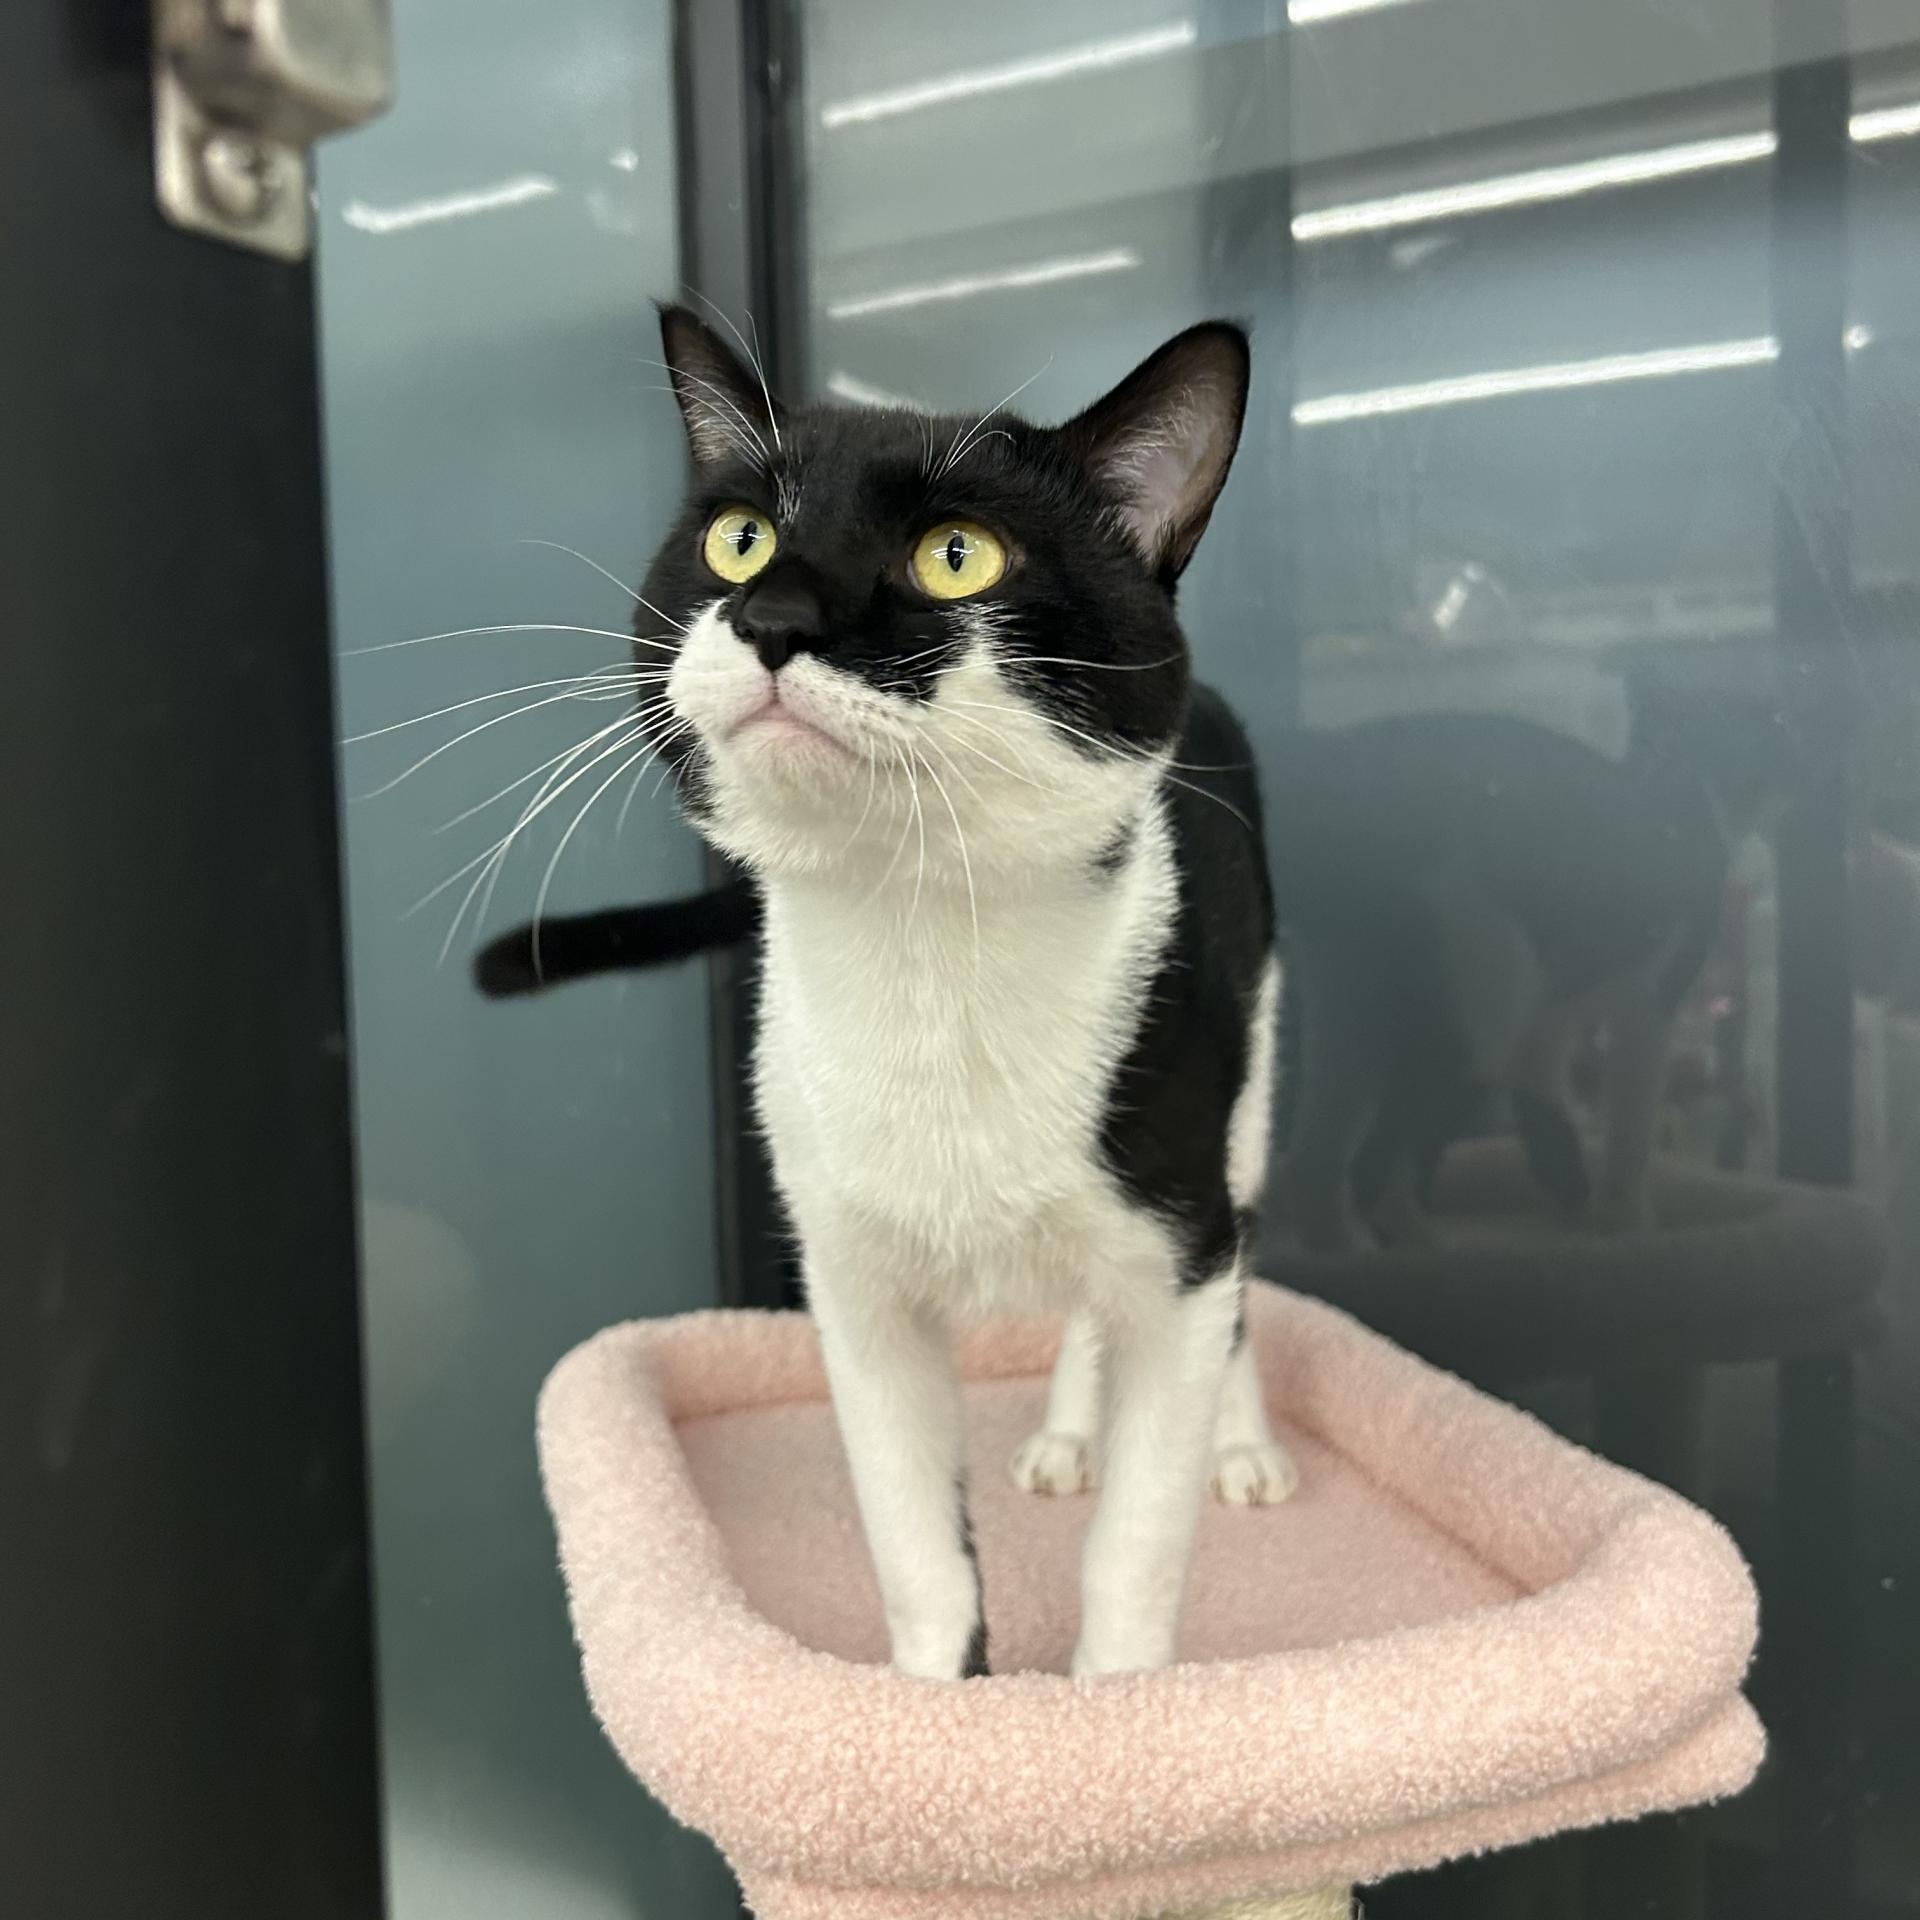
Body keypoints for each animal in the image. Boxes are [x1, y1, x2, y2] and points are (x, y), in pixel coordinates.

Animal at [522, 307, 1301, 1682]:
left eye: (956, 556)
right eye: (738, 537)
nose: (772, 613)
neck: (927, 945)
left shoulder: (1178, 1220)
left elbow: (1140, 1532)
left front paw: (1122, 1709)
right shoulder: (852, 1281)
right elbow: (914, 1543)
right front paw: (931, 1701)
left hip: (1247, 1076)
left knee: (1237, 1264)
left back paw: (1243, 1443)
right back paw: (1067, 1432)